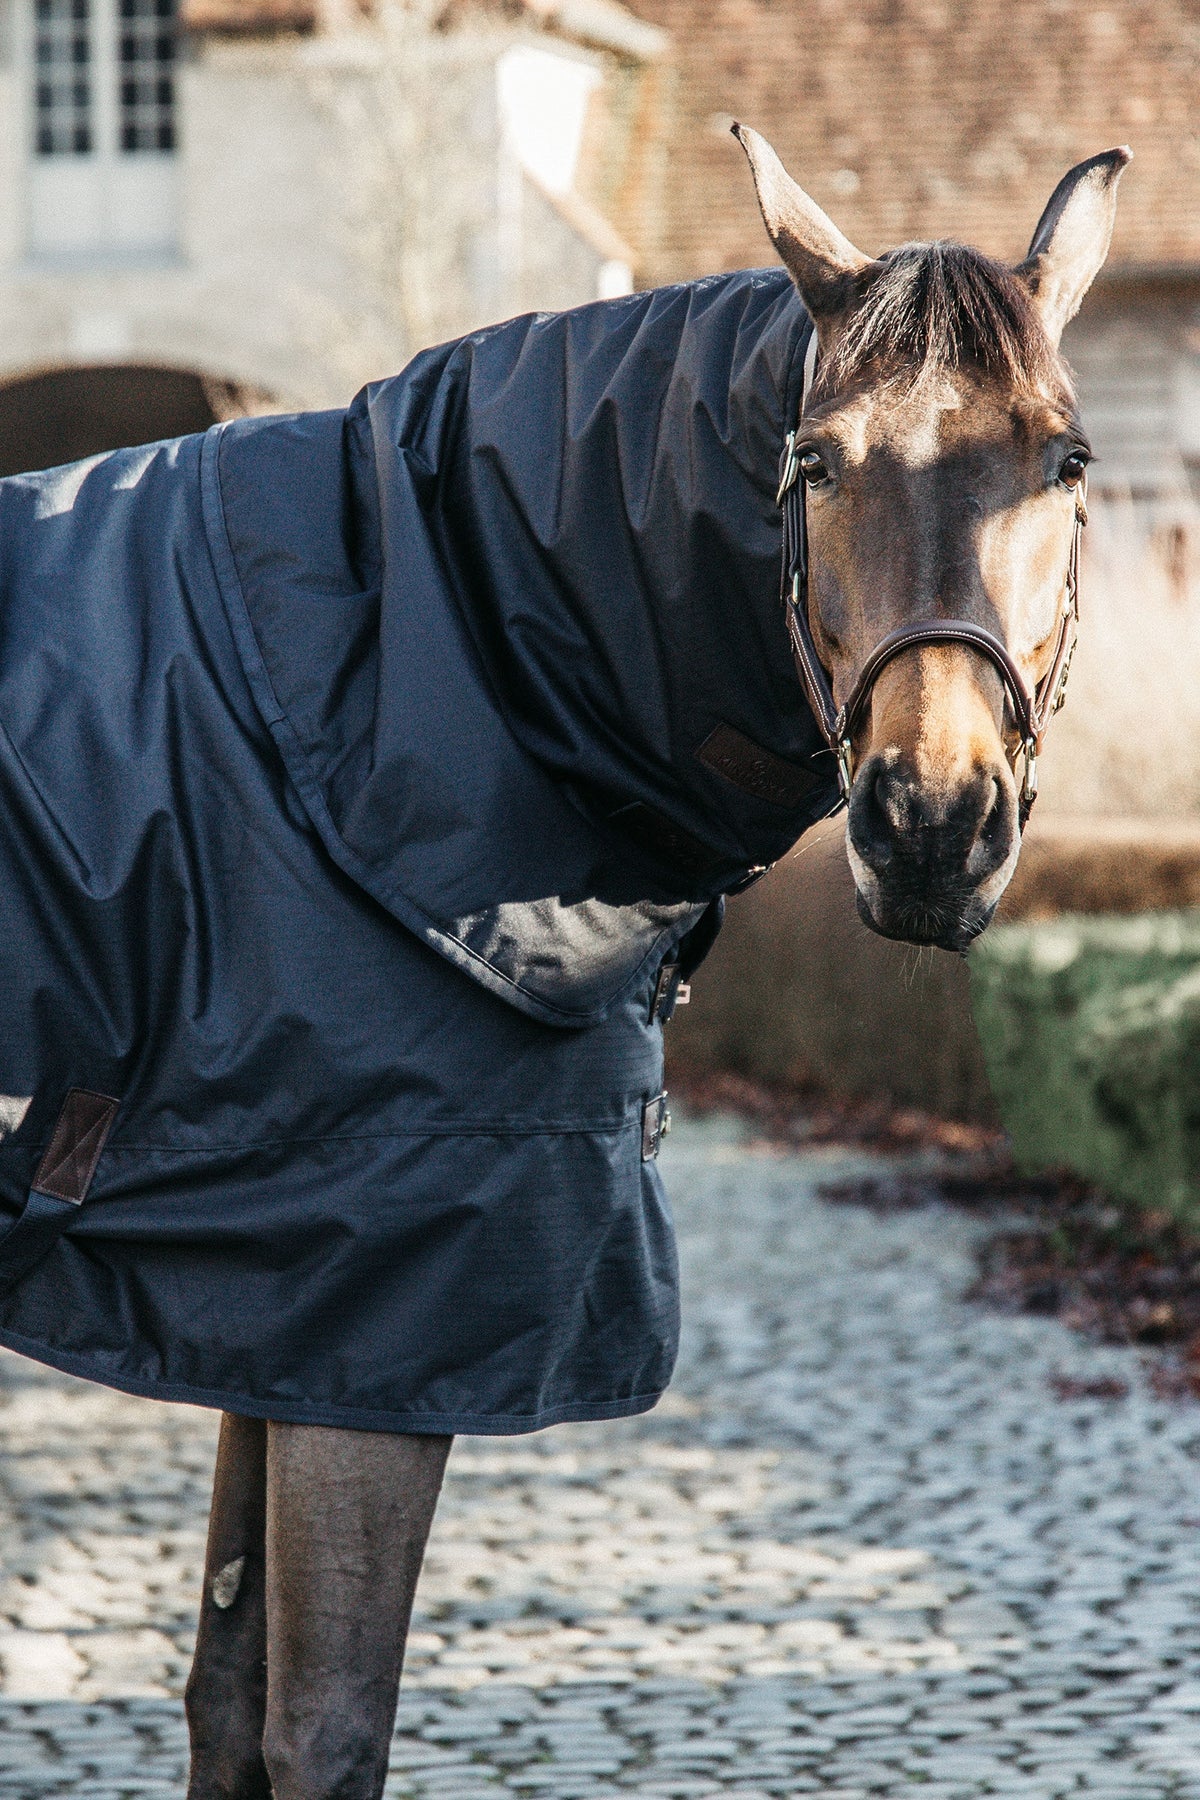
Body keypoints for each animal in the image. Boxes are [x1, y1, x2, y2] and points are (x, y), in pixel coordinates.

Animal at [0, 129, 1126, 1798]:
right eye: (815, 462)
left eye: (1064, 462)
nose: (930, 821)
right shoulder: (372, 1317)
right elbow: (320, 1723)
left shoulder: (273, 1321)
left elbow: (226, 1694)